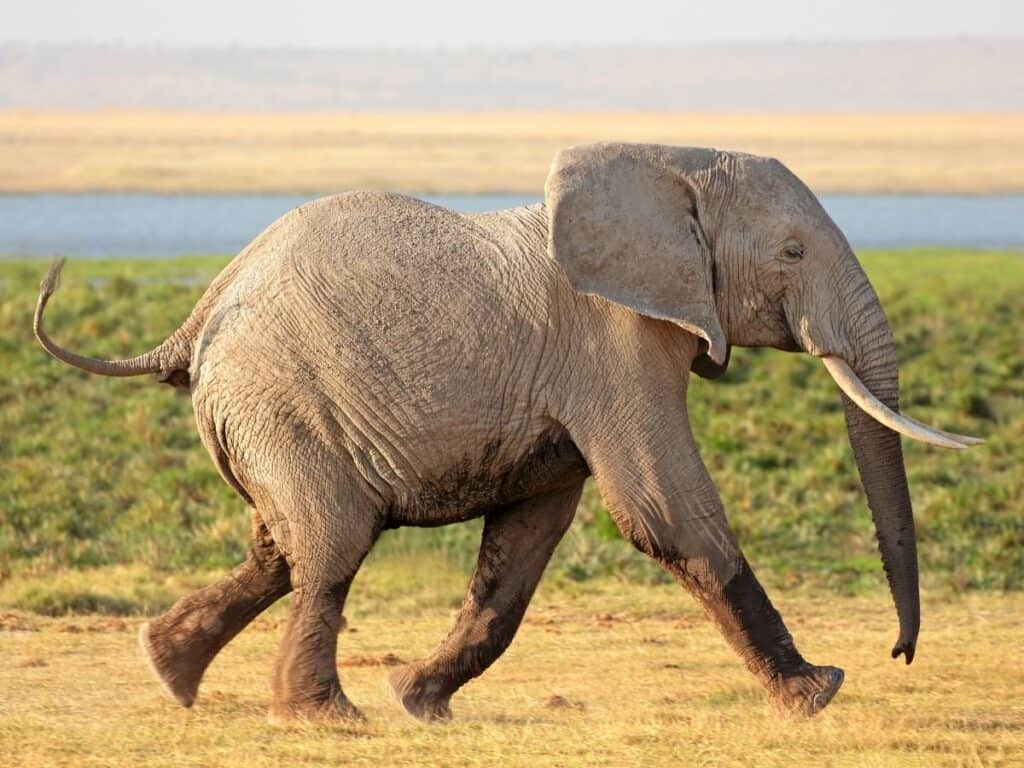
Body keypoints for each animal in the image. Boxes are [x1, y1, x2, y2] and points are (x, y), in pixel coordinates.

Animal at [33, 142, 981, 722]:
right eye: (791, 254)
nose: (898, 653)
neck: (668, 162)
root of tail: (193, 320)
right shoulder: (614, 343)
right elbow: (663, 511)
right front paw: (817, 695)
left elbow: (524, 547)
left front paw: (418, 701)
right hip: (281, 400)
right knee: (331, 543)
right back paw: (322, 717)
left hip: (265, 413)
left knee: (279, 545)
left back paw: (170, 672)